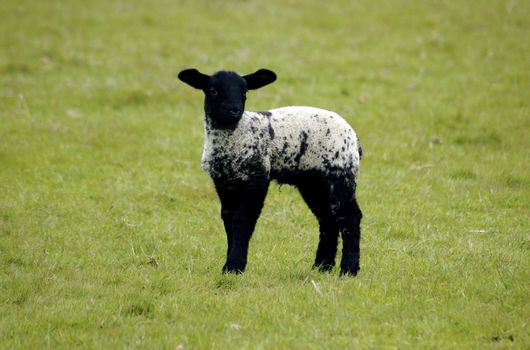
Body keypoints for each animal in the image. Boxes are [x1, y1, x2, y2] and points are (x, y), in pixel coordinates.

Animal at [179, 68, 360, 276]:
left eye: (244, 91)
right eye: (213, 91)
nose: (234, 110)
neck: (236, 136)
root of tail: (354, 136)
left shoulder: (257, 179)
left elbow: (243, 220)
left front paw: (234, 265)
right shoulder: (223, 183)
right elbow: (228, 219)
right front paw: (230, 265)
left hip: (341, 172)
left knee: (350, 217)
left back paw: (349, 269)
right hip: (312, 182)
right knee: (327, 219)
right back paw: (322, 267)